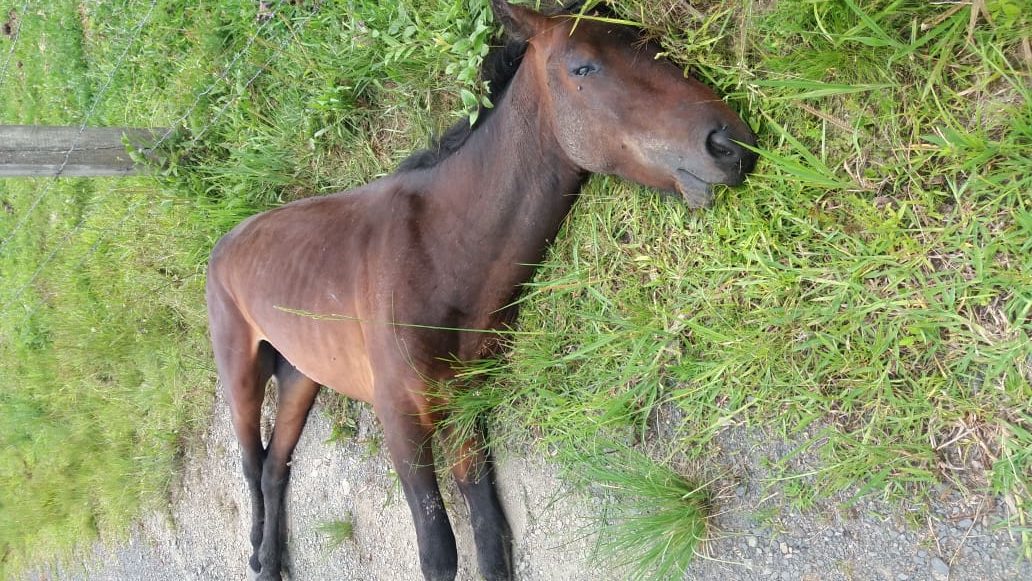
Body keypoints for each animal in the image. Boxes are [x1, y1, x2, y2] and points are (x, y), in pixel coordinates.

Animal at [207, 2, 759, 577]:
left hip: (300, 376)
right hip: (241, 372)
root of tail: (224, 243)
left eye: (649, 39)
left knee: (275, 466)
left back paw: (271, 560)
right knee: (250, 461)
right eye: (583, 66)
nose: (730, 143)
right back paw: (257, 552)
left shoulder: (466, 404)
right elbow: (439, 552)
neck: (439, 250)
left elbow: (491, 538)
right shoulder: (400, 418)